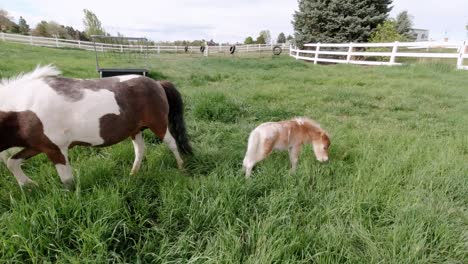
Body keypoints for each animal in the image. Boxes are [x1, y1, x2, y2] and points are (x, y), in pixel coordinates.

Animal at [0, 65, 192, 189]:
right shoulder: (38, 146)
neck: (22, 106)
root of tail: (158, 83)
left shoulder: (56, 150)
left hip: (158, 125)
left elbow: (67, 182)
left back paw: (182, 168)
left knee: (172, 144)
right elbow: (12, 162)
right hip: (135, 130)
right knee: (140, 151)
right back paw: (133, 174)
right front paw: (28, 185)